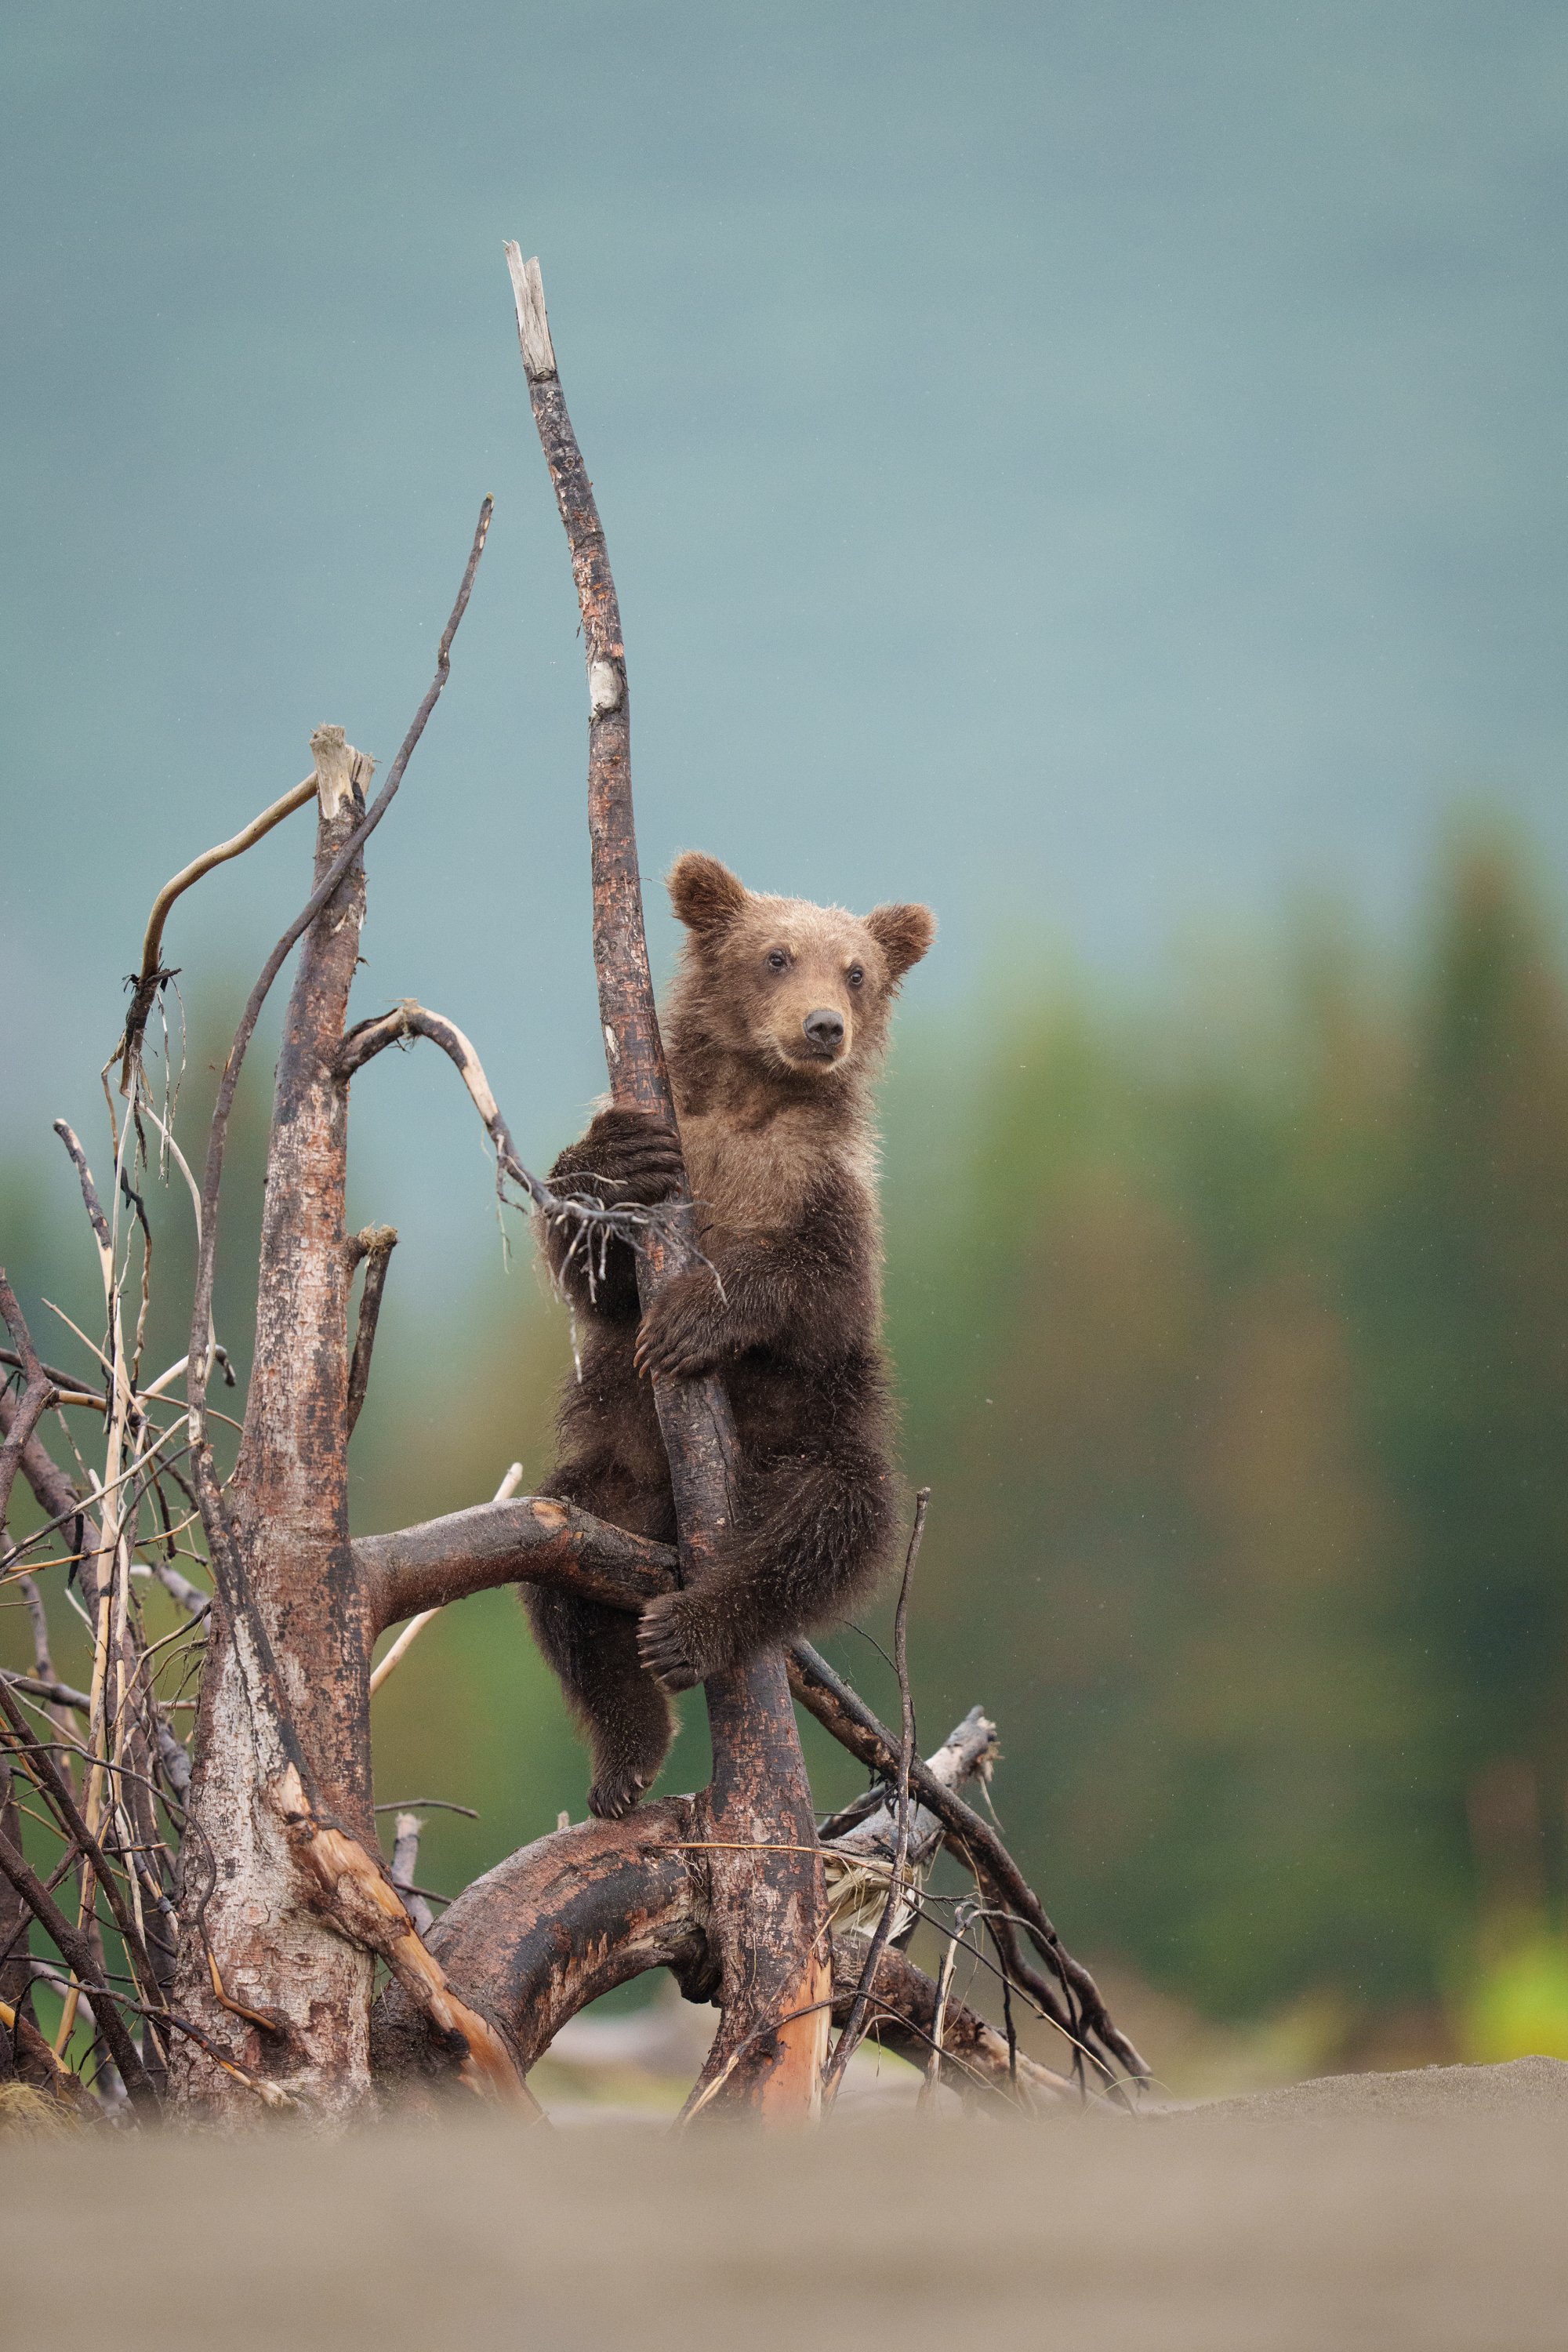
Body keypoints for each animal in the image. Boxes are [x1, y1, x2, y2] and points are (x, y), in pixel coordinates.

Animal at [528, 851, 935, 1819]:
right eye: (776, 956)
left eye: (856, 971)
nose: (823, 1027)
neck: (755, 1101)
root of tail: (673, 1525)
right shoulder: (683, 1147)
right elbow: (592, 1271)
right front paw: (614, 1161)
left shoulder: (828, 1196)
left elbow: (816, 1295)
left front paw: (694, 1319)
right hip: (611, 1489)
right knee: (563, 1594)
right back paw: (626, 1755)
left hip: (810, 1440)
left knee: (824, 1524)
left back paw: (690, 1629)